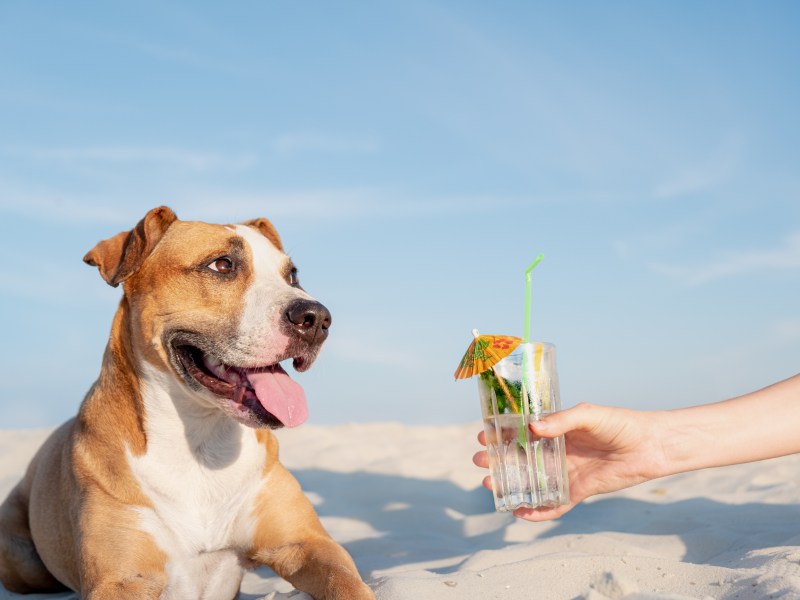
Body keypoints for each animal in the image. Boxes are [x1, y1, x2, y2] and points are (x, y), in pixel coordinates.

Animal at [0, 207, 376, 600]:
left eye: (292, 275)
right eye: (222, 265)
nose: (316, 318)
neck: (201, 438)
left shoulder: (307, 544)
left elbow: (347, 583)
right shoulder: (120, 579)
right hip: (23, 562)